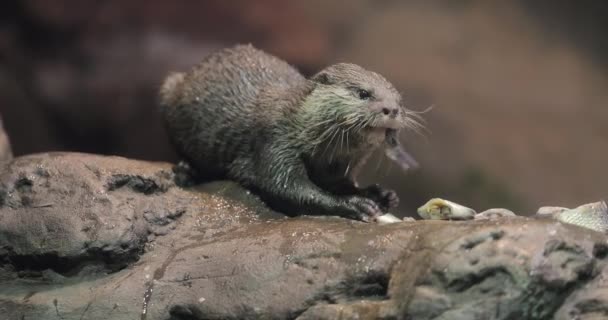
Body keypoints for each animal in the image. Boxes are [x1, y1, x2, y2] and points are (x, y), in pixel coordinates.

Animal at [159, 43, 420, 221]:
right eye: (363, 93)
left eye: (399, 99)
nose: (392, 109)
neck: (300, 125)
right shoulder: (276, 141)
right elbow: (287, 188)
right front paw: (354, 204)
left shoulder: (336, 167)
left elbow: (337, 183)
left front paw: (379, 194)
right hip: (169, 89)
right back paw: (186, 171)